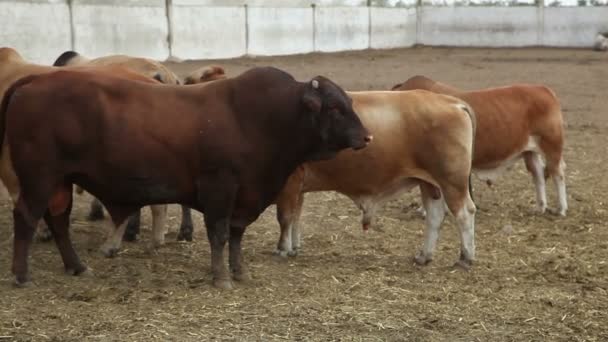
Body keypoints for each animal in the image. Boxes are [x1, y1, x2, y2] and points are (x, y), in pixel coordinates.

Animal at [1, 66, 370, 288]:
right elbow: (219, 234)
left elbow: (236, 235)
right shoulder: (220, 187)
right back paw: (21, 274)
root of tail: (36, 80)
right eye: (334, 107)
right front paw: (221, 277)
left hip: (60, 182)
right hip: (39, 179)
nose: (366, 137)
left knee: (58, 220)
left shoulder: (246, 196)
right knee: (27, 218)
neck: (262, 118)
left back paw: (76, 266)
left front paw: (240, 272)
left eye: (348, 102)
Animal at [392, 76, 568, 218]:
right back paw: (540, 207)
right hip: (530, 151)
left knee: (557, 173)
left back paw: (561, 209)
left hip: (552, 145)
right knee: (538, 174)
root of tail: (543, 89)